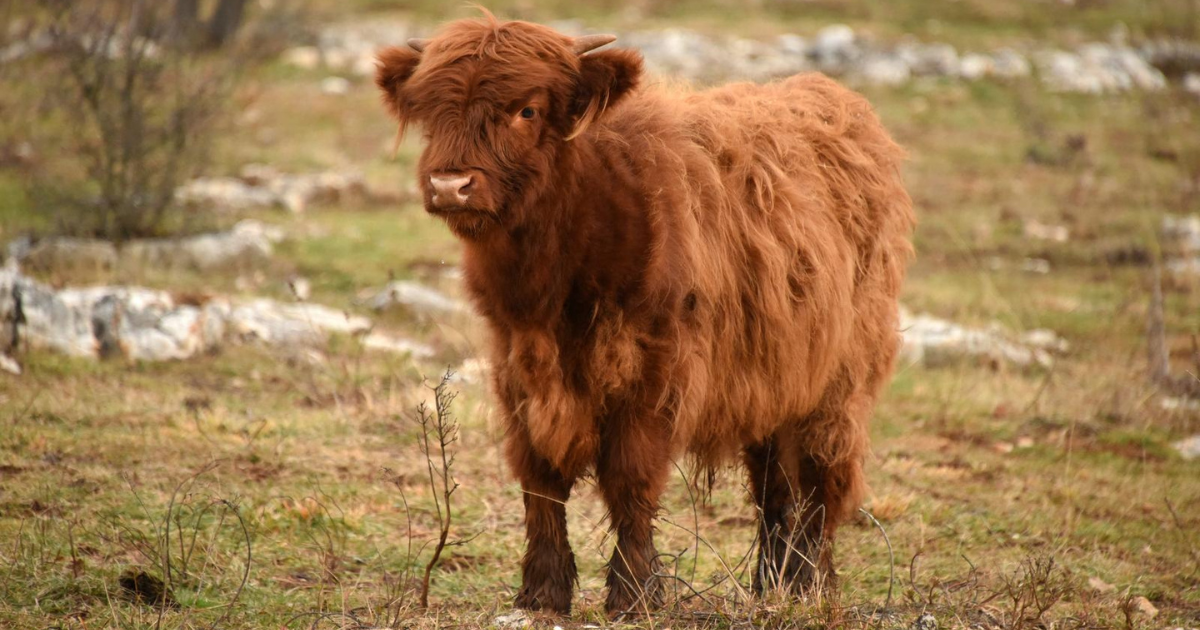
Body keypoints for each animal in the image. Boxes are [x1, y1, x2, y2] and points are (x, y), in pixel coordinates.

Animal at [379, 13, 912, 614]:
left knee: (823, 481)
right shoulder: (516, 364)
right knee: (773, 482)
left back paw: (806, 583)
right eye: (430, 111)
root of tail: (837, 101)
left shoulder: (655, 368)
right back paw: (772, 583)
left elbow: (630, 476)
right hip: (775, 377)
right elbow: (539, 478)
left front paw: (635, 592)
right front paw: (542, 591)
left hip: (841, 379)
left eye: (527, 110)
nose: (451, 185)